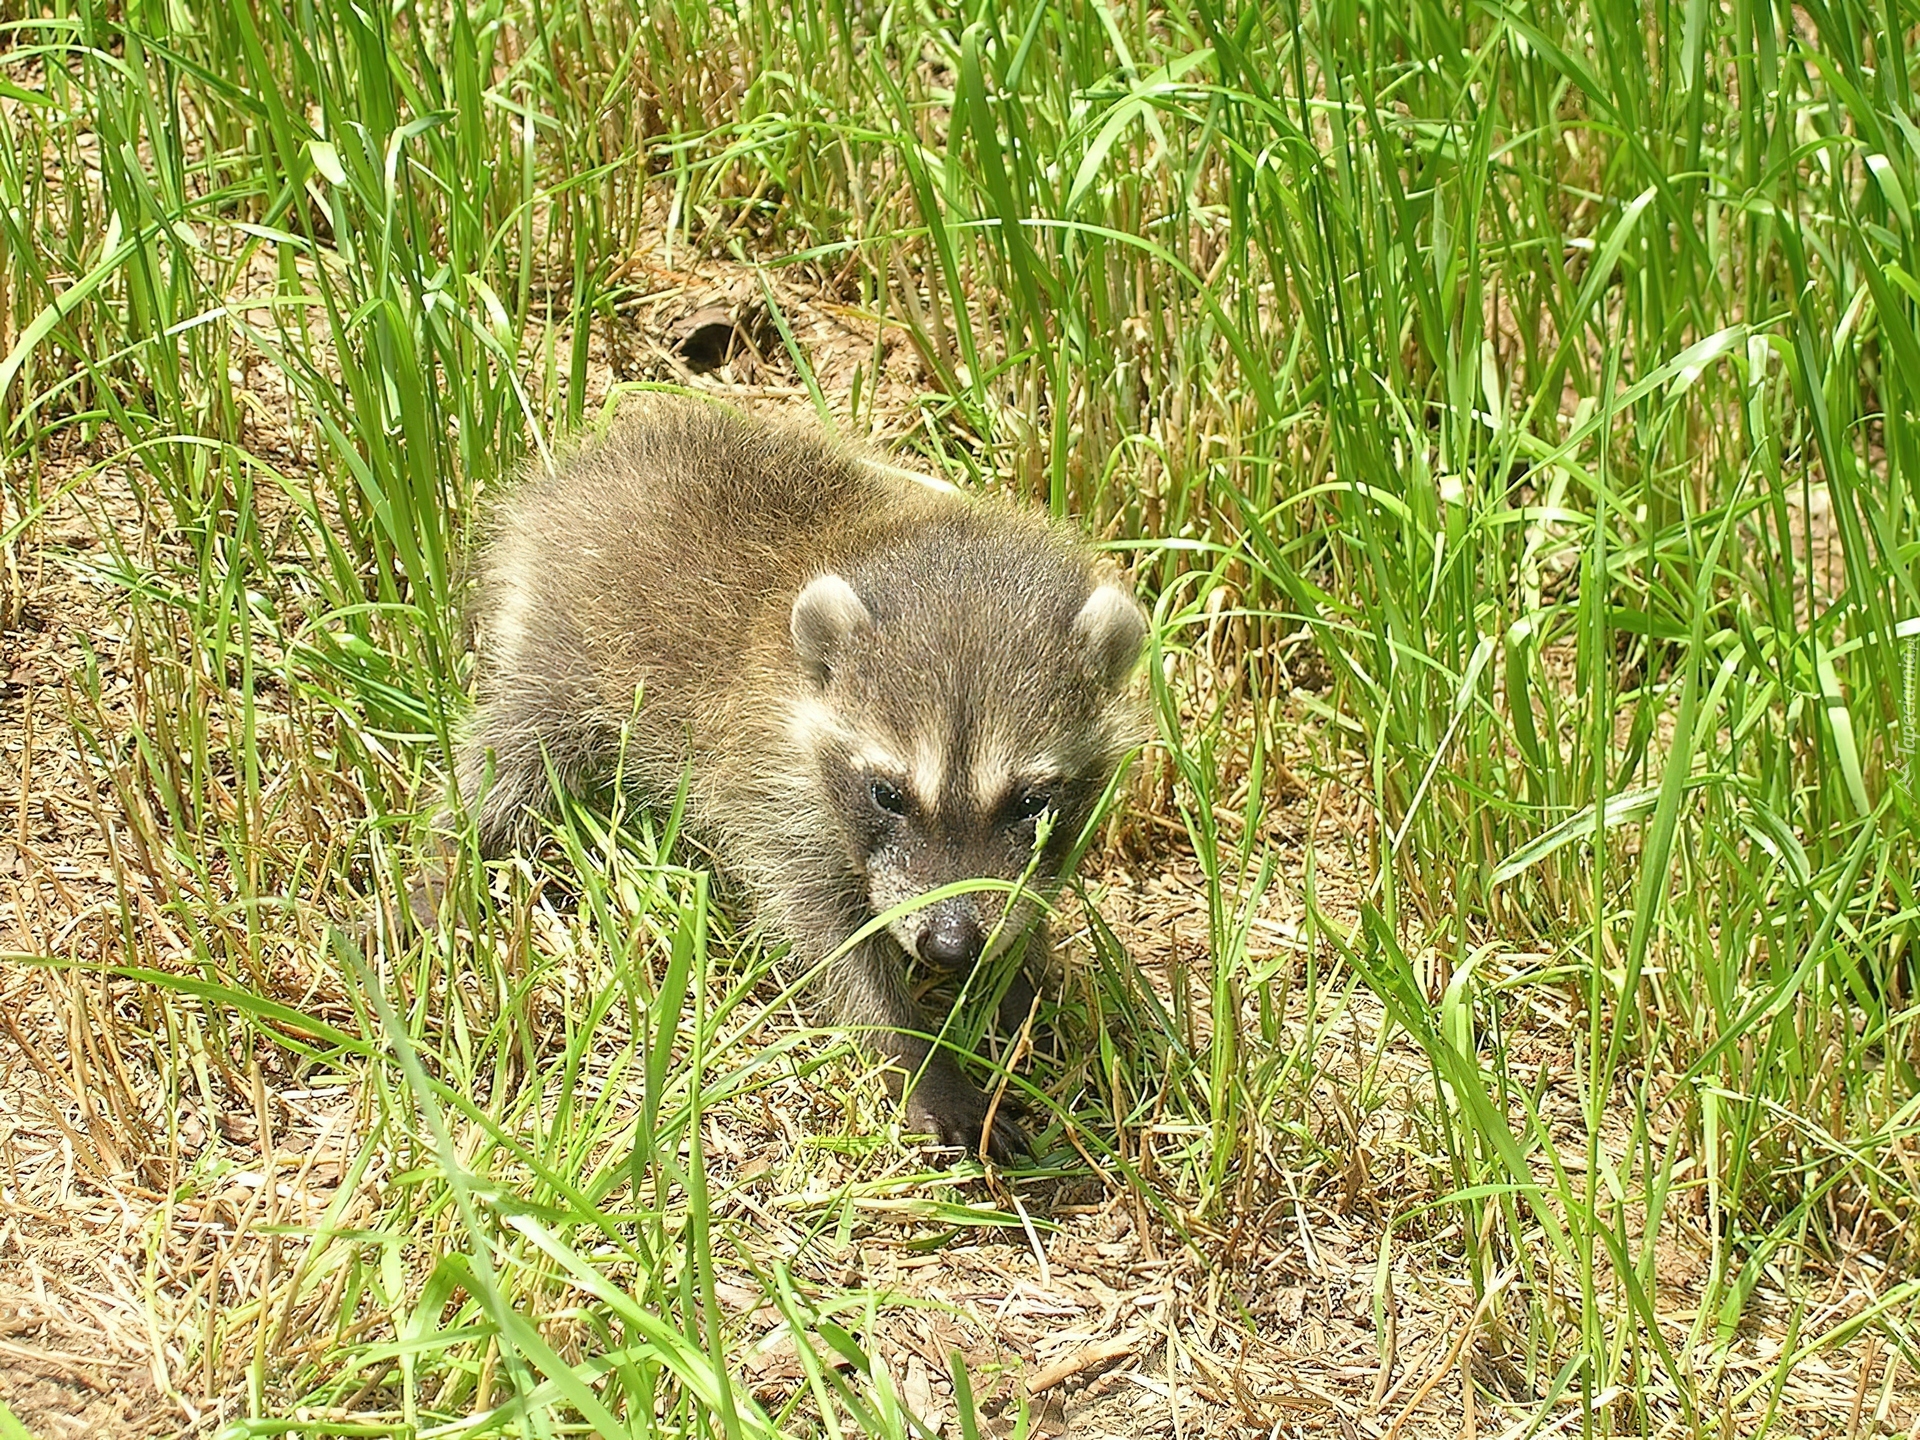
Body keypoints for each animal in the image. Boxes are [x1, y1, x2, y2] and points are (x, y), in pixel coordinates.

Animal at [453, 397, 1136, 1159]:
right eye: (888, 795)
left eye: (1031, 801)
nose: (952, 947)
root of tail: (575, 475)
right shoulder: (774, 787)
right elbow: (829, 938)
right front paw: (918, 1058)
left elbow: (1023, 898)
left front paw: (1022, 983)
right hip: (569, 645)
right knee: (508, 758)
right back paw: (444, 866)